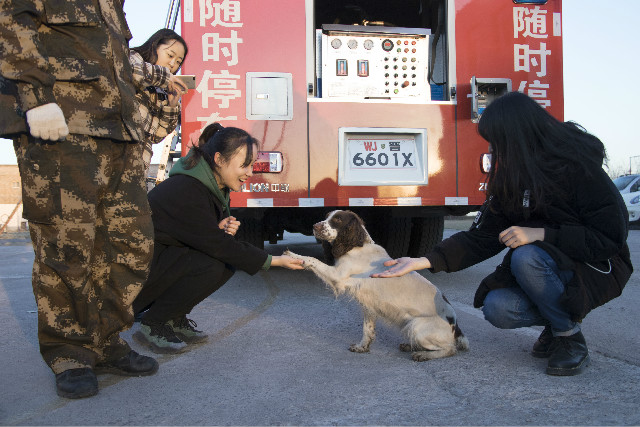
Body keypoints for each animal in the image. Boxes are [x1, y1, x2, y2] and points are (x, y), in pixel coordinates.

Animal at [284, 211, 470, 362]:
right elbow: (367, 330)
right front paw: (362, 347)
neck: (356, 246)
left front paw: (293, 255)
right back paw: (410, 346)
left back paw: (423, 354)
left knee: (450, 349)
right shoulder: (368, 305)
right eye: (327, 216)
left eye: (337, 219)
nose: (314, 226)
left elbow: (312, 259)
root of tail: (456, 326)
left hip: (417, 326)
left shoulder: (338, 277)